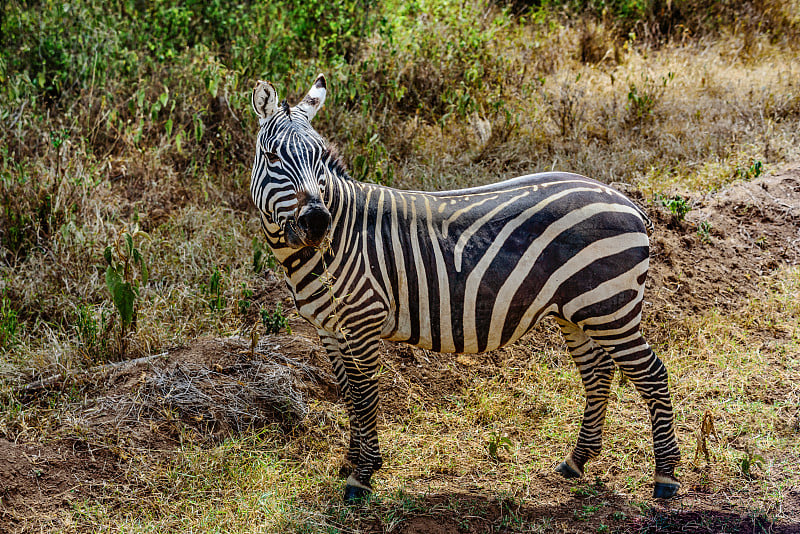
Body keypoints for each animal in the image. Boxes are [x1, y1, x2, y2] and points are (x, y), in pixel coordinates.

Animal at [248, 74, 680, 502]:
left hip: (610, 306)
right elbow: (347, 394)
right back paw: (576, 461)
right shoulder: (330, 328)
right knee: (597, 372)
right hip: (577, 310)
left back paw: (666, 476)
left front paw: (362, 475)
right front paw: (349, 463)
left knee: (653, 373)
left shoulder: (362, 321)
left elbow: (364, 394)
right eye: (271, 157)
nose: (317, 222)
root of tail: (624, 199)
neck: (340, 238)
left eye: (320, 156)